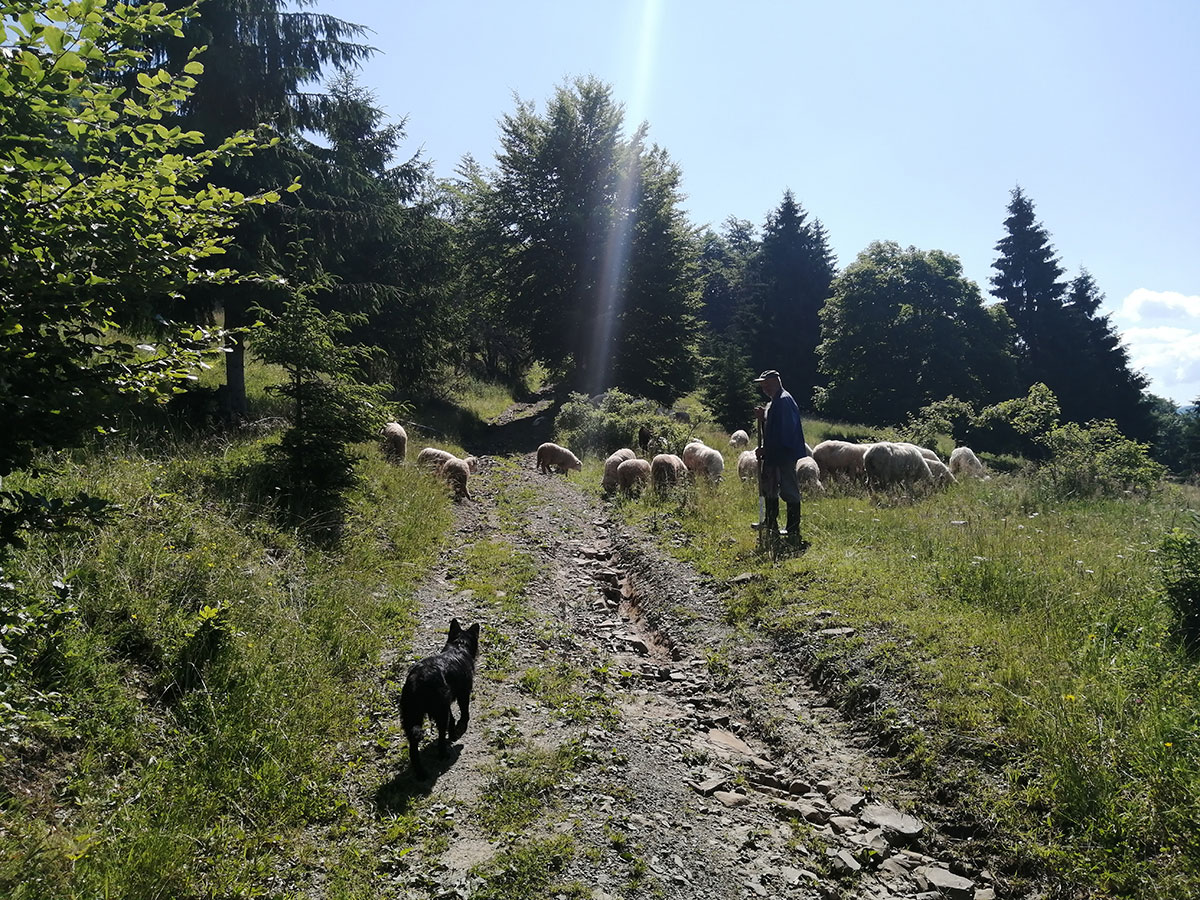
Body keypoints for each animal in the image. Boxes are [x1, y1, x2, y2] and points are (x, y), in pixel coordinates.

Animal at [400, 624, 480, 777]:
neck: (459, 645)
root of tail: (417, 680)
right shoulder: (463, 694)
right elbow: (464, 712)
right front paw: (460, 728)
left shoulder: (446, 702)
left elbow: (452, 719)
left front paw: (453, 732)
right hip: (439, 713)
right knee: (441, 736)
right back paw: (443, 754)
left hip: (412, 717)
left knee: (413, 749)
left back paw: (421, 773)